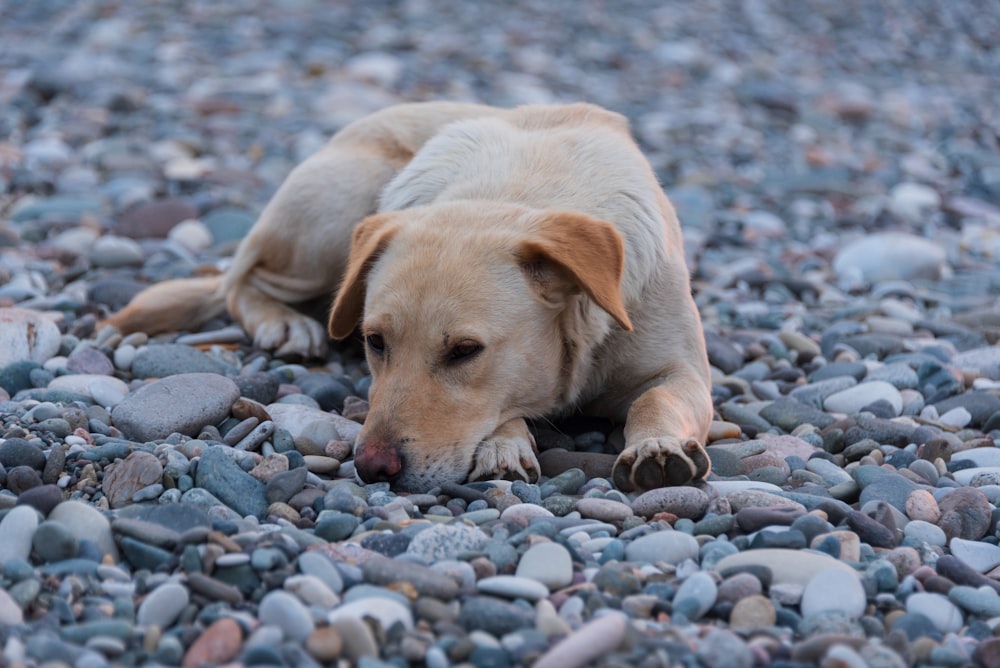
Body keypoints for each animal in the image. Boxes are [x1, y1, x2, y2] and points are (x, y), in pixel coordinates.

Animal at [109, 102, 716, 494]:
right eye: (375, 342)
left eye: (465, 351)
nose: (372, 468)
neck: (517, 191)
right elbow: (502, 413)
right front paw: (505, 444)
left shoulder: (684, 372)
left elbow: (654, 400)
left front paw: (656, 448)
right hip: (335, 213)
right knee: (240, 279)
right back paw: (283, 323)